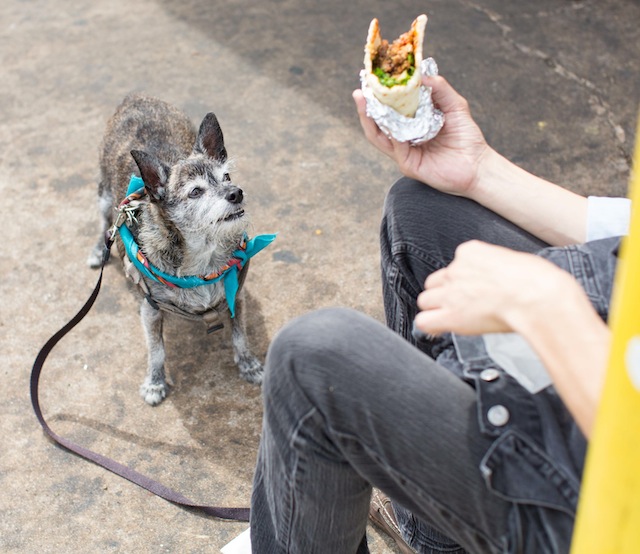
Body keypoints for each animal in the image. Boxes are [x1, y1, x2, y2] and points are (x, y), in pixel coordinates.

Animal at [86, 94, 268, 406]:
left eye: (227, 176)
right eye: (195, 192)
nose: (236, 193)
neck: (204, 253)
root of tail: (135, 97)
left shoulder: (236, 296)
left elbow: (240, 335)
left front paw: (249, 365)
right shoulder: (150, 310)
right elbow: (157, 350)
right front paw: (155, 383)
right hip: (105, 195)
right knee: (104, 222)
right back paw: (100, 249)